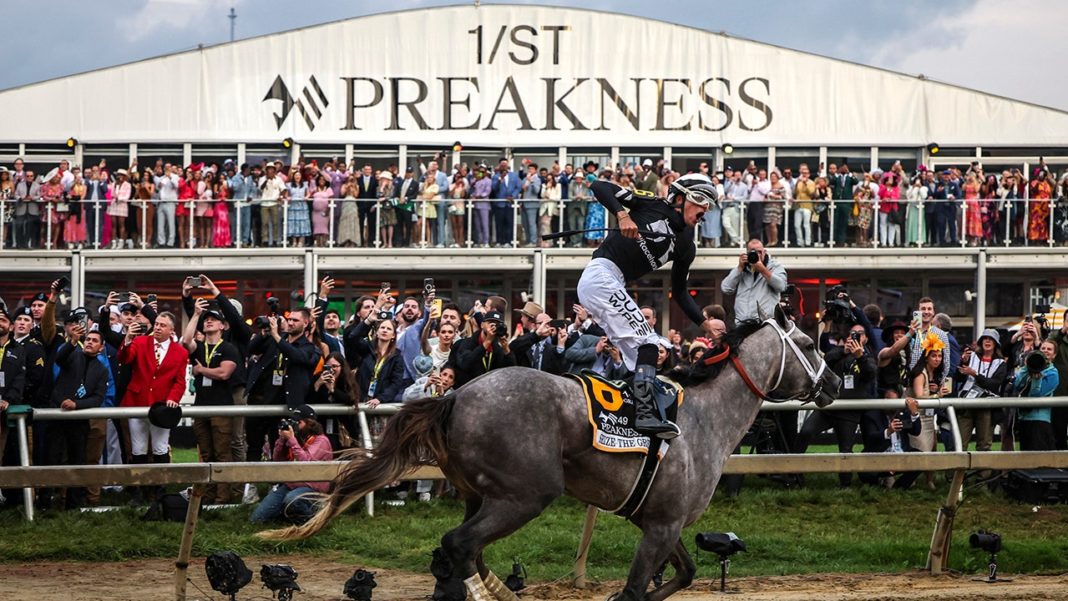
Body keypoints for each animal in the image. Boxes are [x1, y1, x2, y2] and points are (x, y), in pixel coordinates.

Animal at [262, 309, 837, 601]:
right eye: (809, 344)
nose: (832, 382)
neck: (701, 420)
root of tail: (455, 395)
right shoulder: (661, 526)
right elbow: (636, 591)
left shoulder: (660, 522)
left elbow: (687, 573)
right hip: (526, 495)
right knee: (458, 546)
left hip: (480, 495)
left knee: (460, 551)